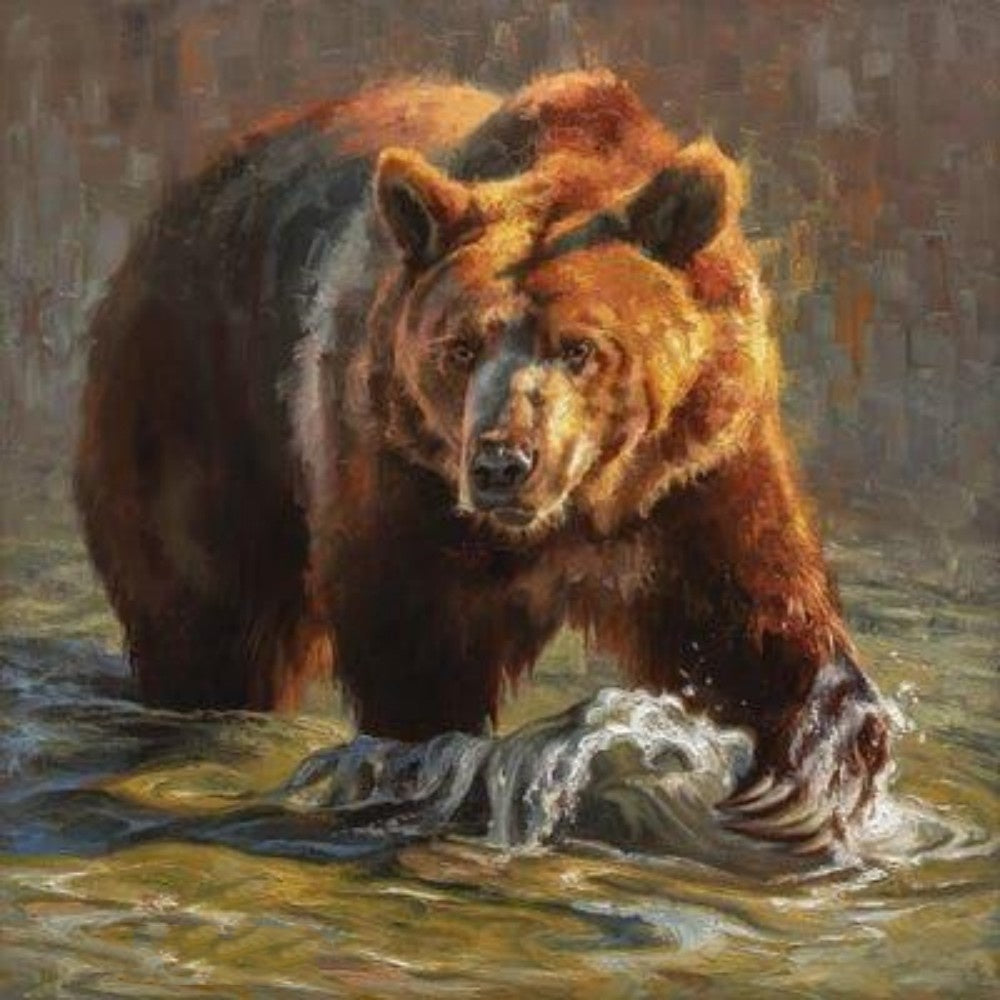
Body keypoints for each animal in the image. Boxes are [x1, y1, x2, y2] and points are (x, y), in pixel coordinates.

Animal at [75, 70, 890, 849]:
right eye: (460, 346)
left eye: (580, 348)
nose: (502, 464)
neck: (580, 510)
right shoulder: (403, 476)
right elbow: (416, 656)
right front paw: (425, 766)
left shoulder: (696, 472)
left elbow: (754, 628)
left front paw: (811, 772)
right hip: (202, 403)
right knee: (210, 621)